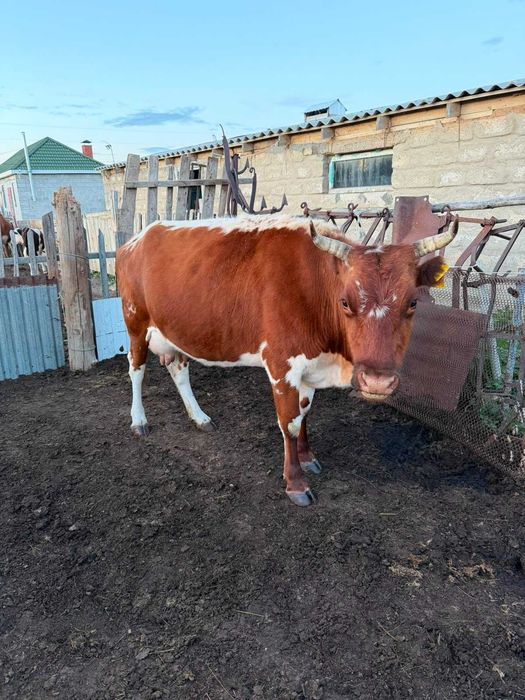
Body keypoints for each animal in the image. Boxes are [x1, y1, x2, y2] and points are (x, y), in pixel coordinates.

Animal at [116, 215, 457, 506]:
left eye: (413, 302)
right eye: (345, 302)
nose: (377, 381)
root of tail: (138, 238)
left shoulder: (310, 366)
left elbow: (305, 413)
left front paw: (308, 457)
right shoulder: (282, 366)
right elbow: (289, 422)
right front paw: (296, 482)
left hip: (175, 330)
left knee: (179, 369)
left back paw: (199, 417)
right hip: (135, 322)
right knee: (136, 369)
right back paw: (139, 421)